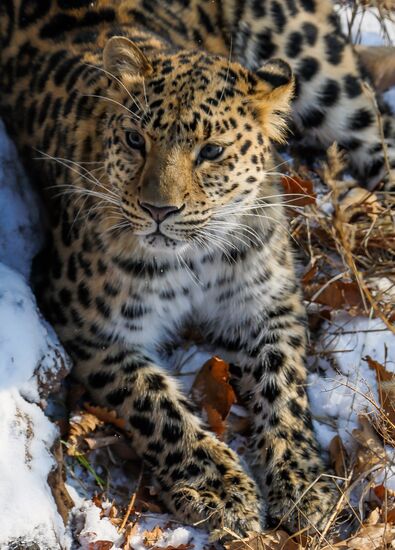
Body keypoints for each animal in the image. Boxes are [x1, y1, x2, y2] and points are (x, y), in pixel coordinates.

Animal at [1, 0, 394, 540]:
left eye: (211, 152)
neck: (195, 257)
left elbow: (285, 389)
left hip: (328, 78)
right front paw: (219, 488)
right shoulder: (88, 323)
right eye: (134, 140)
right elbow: (157, 404)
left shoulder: (269, 303)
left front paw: (302, 482)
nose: (158, 210)